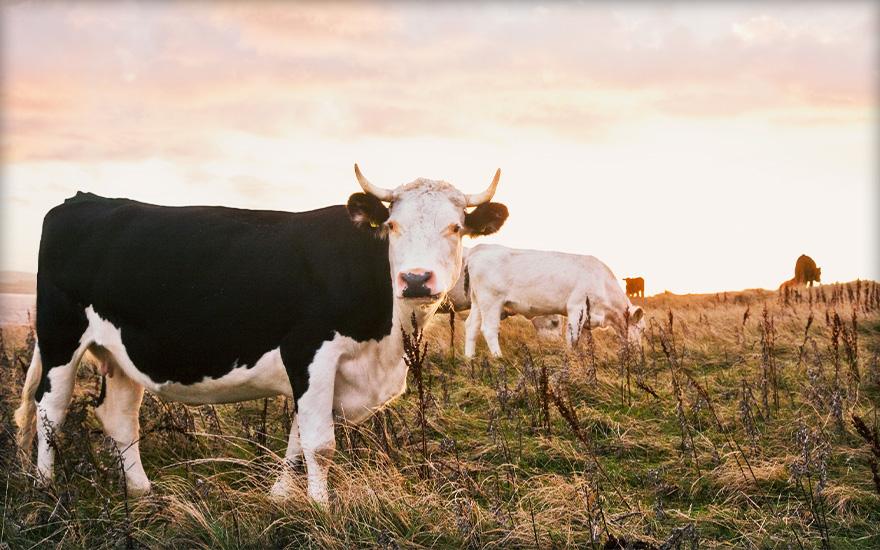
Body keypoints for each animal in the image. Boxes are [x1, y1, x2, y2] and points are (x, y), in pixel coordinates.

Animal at [15, 165, 508, 504]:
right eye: (392, 226)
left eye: (455, 228)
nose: (417, 279)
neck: (386, 340)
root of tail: (83, 198)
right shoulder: (310, 351)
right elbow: (319, 443)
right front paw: (322, 508)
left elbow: (296, 440)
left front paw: (281, 498)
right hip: (61, 335)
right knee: (50, 409)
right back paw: (45, 488)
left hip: (121, 352)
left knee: (118, 416)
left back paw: (140, 490)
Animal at [464, 245, 644, 358]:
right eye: (642, 329)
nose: (640, 351)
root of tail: (479, 249)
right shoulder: (576, 307)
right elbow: (573, 339)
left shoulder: (588, 317)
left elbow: (586, 340)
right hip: (491, 300)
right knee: (489, 328)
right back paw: (498, 357)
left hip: (477, 302)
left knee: (471, 326)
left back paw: (469, 357)